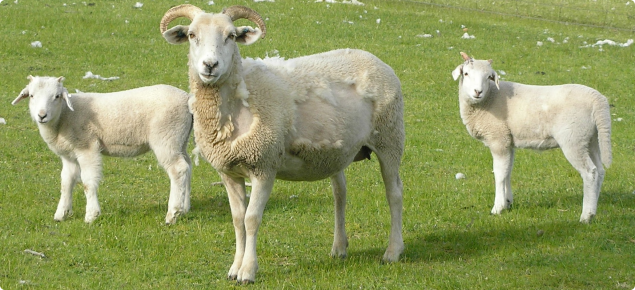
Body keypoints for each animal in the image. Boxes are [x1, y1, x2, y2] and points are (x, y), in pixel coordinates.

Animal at [11, 75, 194, 224]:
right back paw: (184, 208)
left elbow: (87, 182)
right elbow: (66, 182)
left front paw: (91, 215)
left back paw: (172, 213)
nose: (42, 115)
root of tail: (187, 99)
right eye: (31, 95)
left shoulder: (87, 147)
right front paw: (61, 214)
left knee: (178, 169)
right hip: (180, 140)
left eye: (57, 96)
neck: (64, 116)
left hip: (166, 137)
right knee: (187, 166)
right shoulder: (69, 155)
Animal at [161, 3, 404, 282]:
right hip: (338, 152)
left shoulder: (264, 166)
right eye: (192, 35)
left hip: (390, 137)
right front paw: (234, 268)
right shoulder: (229, 172)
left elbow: (252, 219)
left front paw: (248, 271)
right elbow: (237, 219)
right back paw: (339, 247)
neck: (238, 101)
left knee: (394, 193)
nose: (210, 65)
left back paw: (393, 251)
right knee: (340, 194)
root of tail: (375, 59)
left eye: (231, 36)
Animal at [452, 52, 612, 224]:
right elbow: (508, 171)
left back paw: (586, 215)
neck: (489, 99)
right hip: (591, 138)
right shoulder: (508, 141)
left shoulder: (498, 139)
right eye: (466, 73)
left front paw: (497, 208)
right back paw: (593, 208)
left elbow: (499, 173)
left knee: (590, 172)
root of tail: (598, 100)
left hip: (573, 139)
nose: (478, 91)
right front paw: (508, 202)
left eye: (489, 77)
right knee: (600, 171)